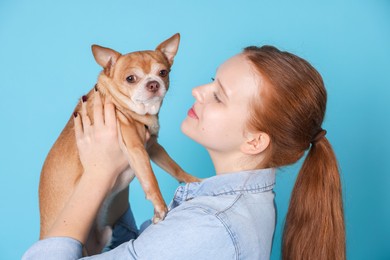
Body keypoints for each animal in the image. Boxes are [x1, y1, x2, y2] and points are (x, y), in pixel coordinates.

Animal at [38, 33, 198, 254]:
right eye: (130, 78)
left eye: (163, 72)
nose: (153, 83)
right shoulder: (137, 149)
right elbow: (150, 180)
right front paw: (160, 209)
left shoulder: (152, 148)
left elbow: (174, 166)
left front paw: (194, 180)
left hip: (105, 234)